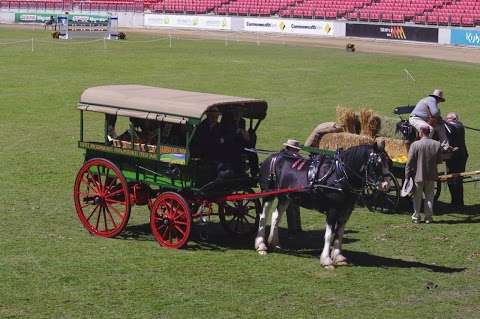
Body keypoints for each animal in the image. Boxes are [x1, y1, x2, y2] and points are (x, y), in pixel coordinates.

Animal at [255, 144, 390, 268]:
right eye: (376, 163)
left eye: (388, 161)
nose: (386, 185)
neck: (340, 175)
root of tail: (272, 157)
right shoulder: (332, 210)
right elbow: (329, 235)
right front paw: (326, 260)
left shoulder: (346, 210)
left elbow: (339, 233)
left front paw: (338, 257)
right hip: (268, 193)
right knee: (263, 217)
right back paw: (261, 245)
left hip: (286, 197)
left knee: (276, 216)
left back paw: (274, 243)